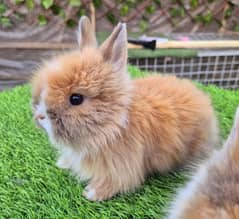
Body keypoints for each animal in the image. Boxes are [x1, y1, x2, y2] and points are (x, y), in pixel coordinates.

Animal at [31, 16, 218, 201]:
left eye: (76, 99)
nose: (40, 117)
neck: (112, 125)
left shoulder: (122, 167)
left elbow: (118, 182)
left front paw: (92, 193)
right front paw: (63, 163)